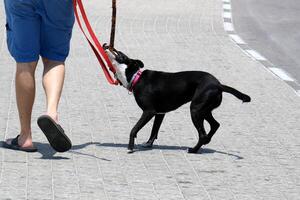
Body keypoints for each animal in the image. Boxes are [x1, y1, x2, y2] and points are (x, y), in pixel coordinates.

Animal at [106, 49, 250, 153]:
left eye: (120, 54)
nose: (106, 46)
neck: (136, 77)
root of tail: (218, 85)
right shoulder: (159, 113)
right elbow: (154, 130)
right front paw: (148, 144)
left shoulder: (149, 111)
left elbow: (134, 129)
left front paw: (130, 147)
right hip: (204, 109)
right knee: (215, 125)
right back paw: (206, 141)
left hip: (195, 110)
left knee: (202, 134)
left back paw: (193, 150)